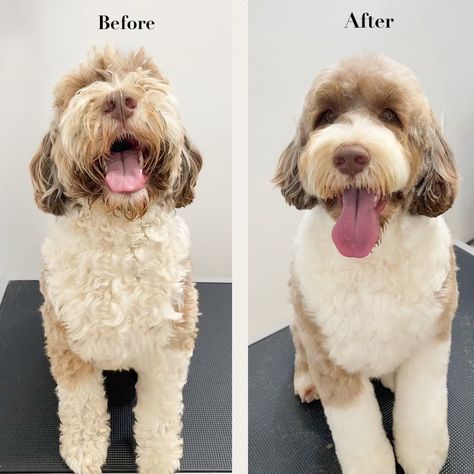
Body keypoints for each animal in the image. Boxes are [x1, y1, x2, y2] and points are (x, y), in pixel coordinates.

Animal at [29, 45, 200, 474]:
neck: (120, 232)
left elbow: (160, 412)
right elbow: (81, 403)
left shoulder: (171, 342)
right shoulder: (66, 338)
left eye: (145, 76)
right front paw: (84, 449)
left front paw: (158, 458)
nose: (120, 99)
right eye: (84, 85)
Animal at [274, 56, 460, 474]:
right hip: (299, 325)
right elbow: (359, 434)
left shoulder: (431, 339)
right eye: (327, 116)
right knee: (299, 354)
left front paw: (422, 454)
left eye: (390, 115)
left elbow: (422, 412)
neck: (373, 257)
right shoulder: (330, 356)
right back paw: (306, 382)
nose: (349, 155)